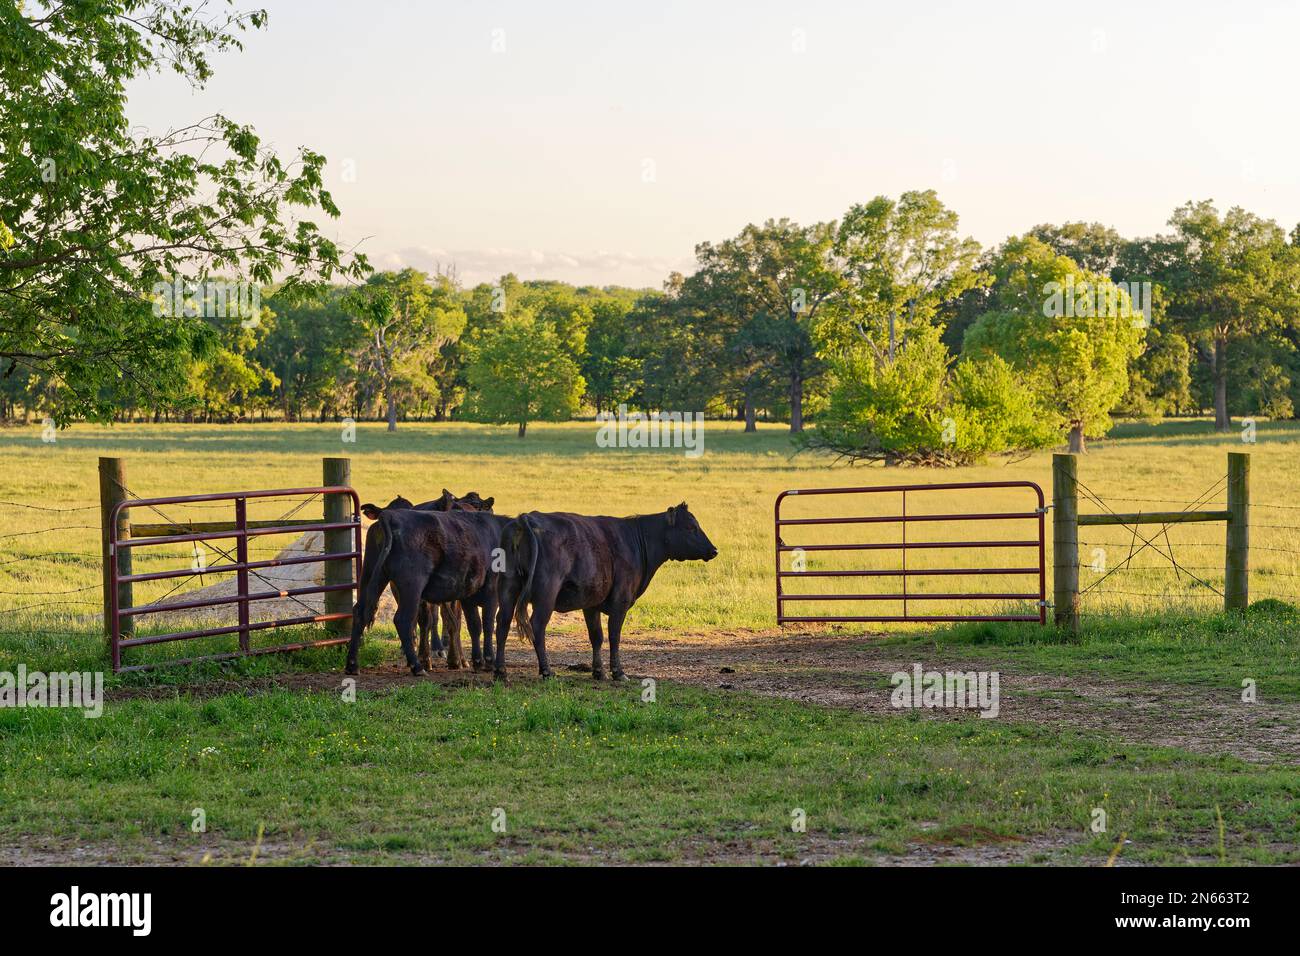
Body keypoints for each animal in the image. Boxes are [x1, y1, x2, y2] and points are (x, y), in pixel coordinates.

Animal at [496, 509, 722, 681]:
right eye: (690, 527)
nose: (714, 550)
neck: (635, 541)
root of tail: (526, 518)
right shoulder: (620, 602)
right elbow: (614, 635)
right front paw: (618, 672)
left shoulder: (590, 604)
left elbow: (596, 636)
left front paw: (599, 672)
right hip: (546, 594)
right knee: (537, 626)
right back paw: (546, 671)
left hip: (508, 587)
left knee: (502, 623)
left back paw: (500, 671)